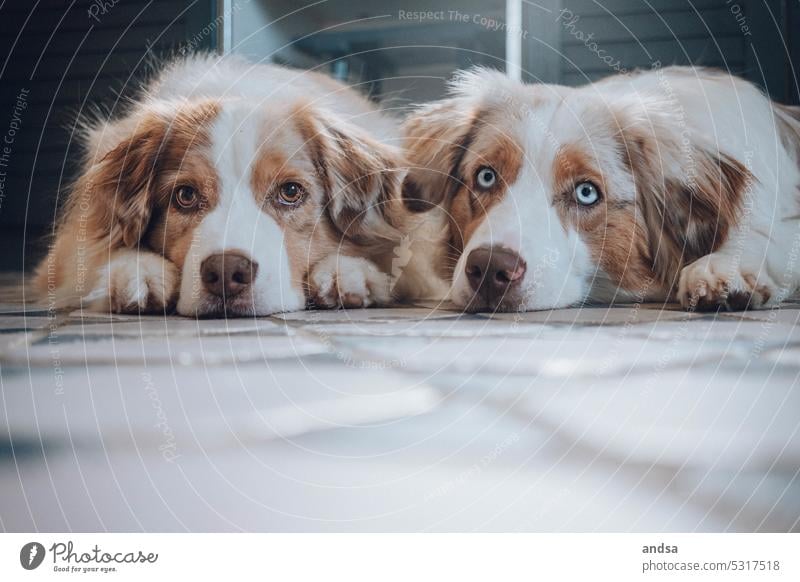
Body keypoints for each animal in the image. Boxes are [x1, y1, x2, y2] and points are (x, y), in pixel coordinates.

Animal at [36, 53, 406, 320]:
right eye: (185, 195)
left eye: (290, 192)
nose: (227, 272)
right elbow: (92, 253)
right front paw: (136, 270)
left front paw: (347, 270)